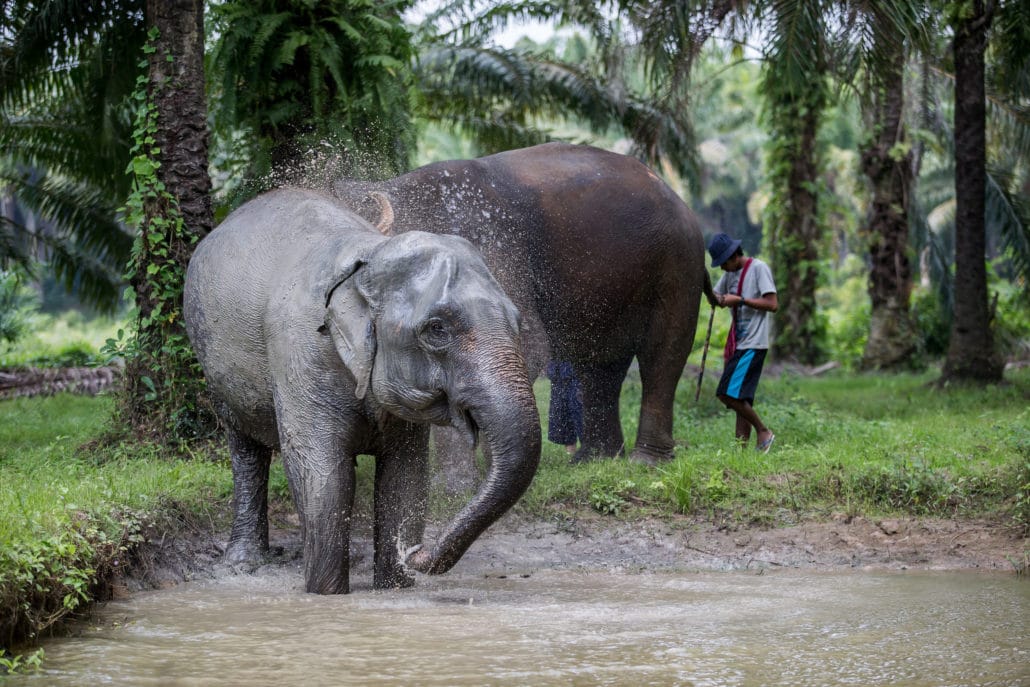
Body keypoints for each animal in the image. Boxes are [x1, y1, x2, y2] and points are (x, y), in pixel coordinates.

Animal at [182, 186, 543, 593]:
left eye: (516, 321)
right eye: (437, 329)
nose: (415, 552)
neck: (368, 255)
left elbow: (406, 475)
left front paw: (394, 585)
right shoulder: (300, 351)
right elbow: (322, 473)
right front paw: (326, 595)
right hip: (213, 364)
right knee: (244, 448)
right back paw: (244, 563)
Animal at [333, 142, 712, 465]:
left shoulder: (489, 246)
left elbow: (525, 344)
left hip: (679, 265)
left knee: (662, 356)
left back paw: (645, 461)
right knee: (599, 366)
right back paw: (594, 460)